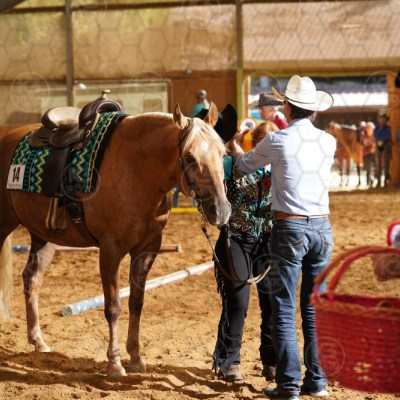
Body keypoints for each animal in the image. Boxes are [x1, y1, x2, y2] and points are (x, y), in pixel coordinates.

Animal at [0, 102, 230, 377]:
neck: (135, 169)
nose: (221, 210)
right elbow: (113, 306)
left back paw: (38, 340)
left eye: (223, 153)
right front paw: (115, 363)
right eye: (189, 157)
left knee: (31, 279)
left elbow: (136, 301)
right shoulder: (110, 250)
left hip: (43, 236)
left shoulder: (147, 249)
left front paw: (136, 357)